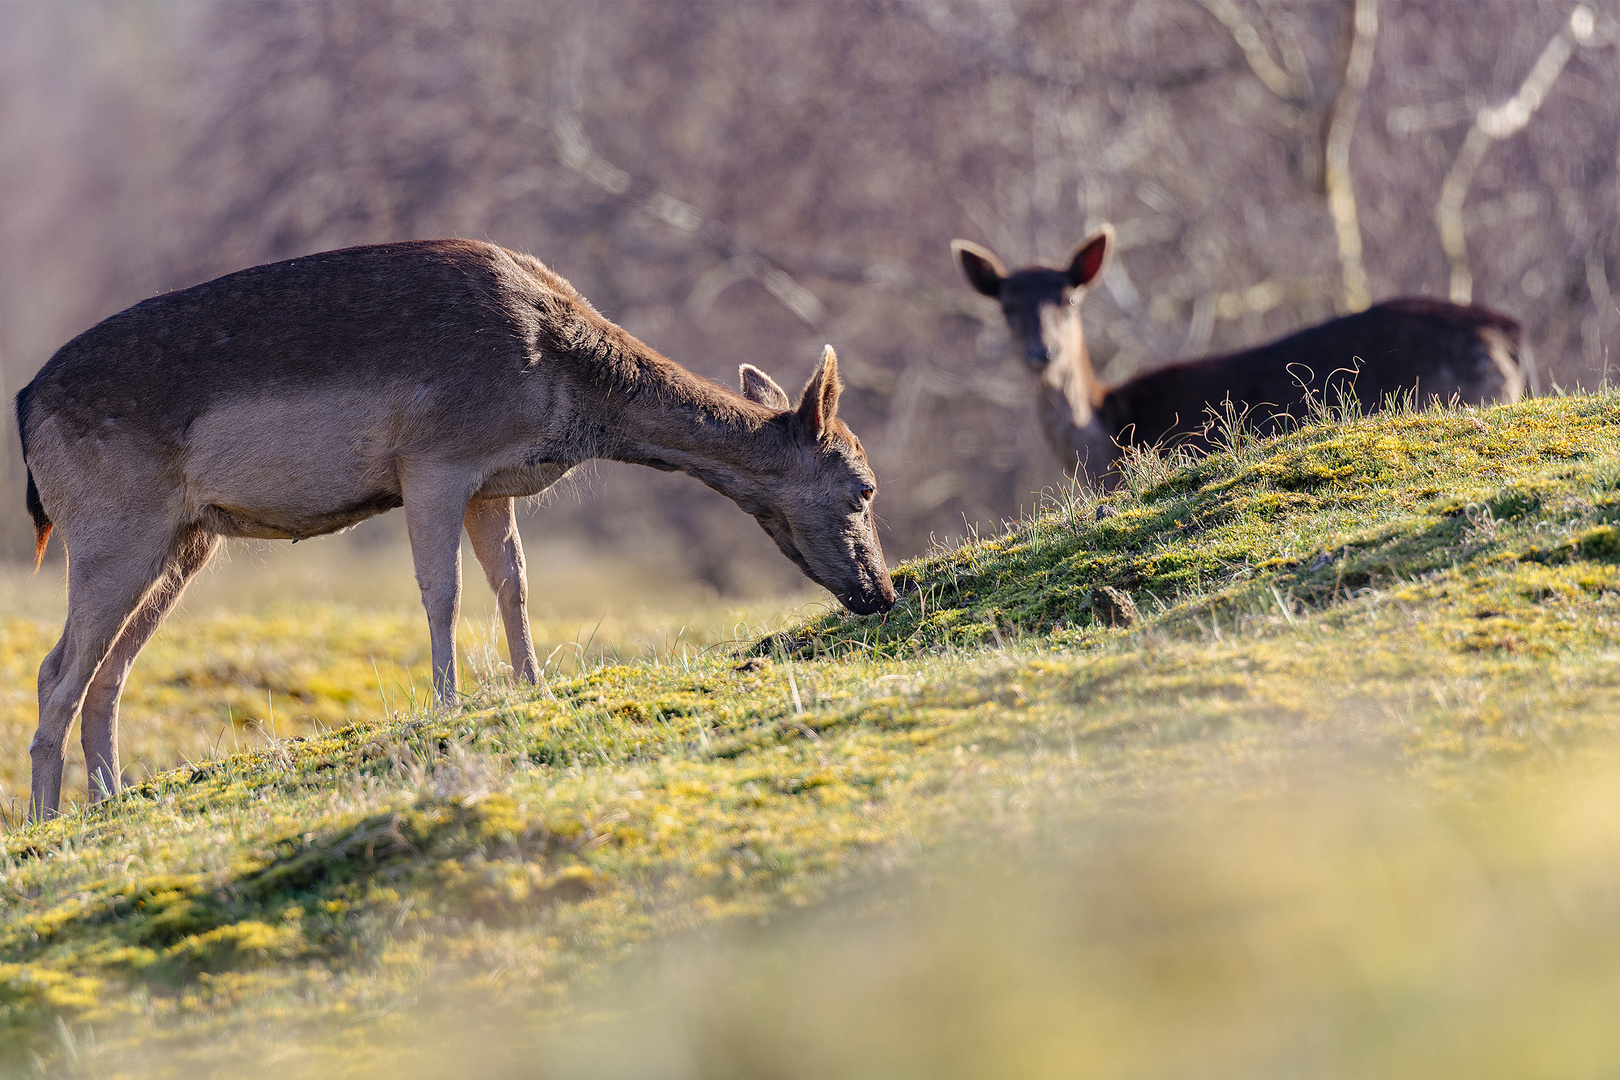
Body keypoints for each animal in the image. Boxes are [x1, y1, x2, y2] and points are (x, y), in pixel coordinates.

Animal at [15, 238, 900, 819]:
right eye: (863, 487)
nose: (881, 591)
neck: (567, 389)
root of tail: (24, 407)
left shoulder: (490, 484)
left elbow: (514, 581)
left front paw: (531, 683)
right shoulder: (434, 460)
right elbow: (441, 590)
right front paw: (446, 703)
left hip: (189, 538)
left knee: (106, 674)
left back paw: (108, 802)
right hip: (113, 524)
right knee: (57, 668)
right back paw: (45, 822)